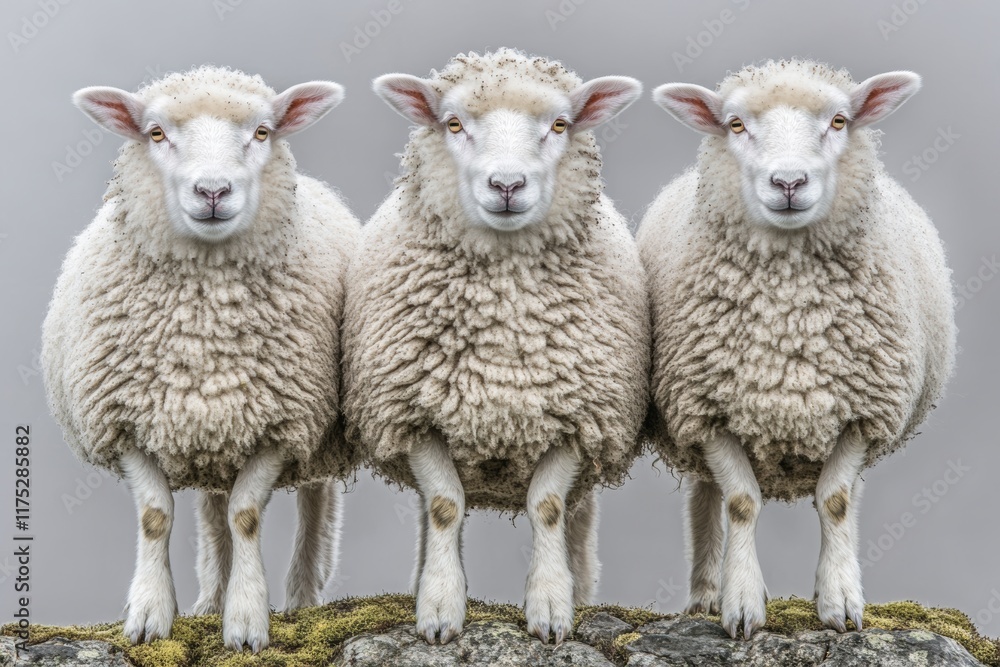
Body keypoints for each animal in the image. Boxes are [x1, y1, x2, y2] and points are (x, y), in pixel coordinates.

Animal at [41, 66, 360, 652]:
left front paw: (247, 620)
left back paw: (303, 599)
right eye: (156, 133)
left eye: (262, 132)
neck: (201, 334)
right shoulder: (124, 423)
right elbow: (155, 516)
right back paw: (209, 600)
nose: (213, 190)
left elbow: (247, 515)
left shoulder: (282, 425)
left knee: (315, 502)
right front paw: (149, 616)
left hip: (317, 435)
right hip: (211, 436)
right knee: (212, 512)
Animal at [341, 49, 649, 646]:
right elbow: (443, 507)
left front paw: (551, 607)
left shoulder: (576, 418)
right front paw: (439, 608)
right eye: (454, 123)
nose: (507, 184)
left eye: (560, 125)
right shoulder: (416, 415)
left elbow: (547, 507)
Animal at [638, 59, 957, 639]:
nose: (788, 182)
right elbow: (741, 502)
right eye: (735, 124)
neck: (791, 324)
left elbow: (835, 501)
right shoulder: (708, 413)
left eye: (839, 120)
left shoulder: (864, 413)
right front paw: (741, 605)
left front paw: (840, 602)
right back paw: (705, 594)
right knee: (705, 497)